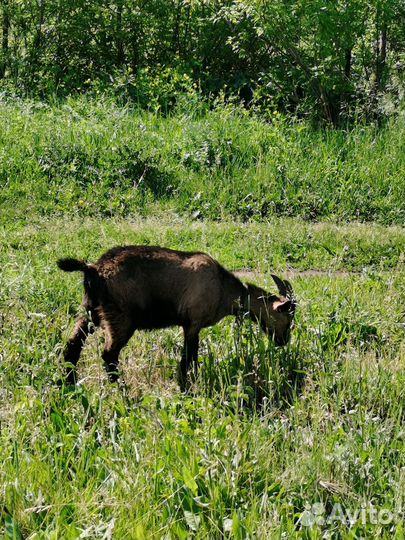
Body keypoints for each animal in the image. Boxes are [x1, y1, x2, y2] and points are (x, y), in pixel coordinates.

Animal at [56, 247, 296, 390]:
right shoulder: (193, 324)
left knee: (73, 343)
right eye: (288, 319)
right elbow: (188, 358)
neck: (224, 289)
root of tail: (93, 269)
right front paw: (186, 386)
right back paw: (122, 389)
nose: (284, 342)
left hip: (91, 312)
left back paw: (68, 382)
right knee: (109, 355)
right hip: (119, 319)